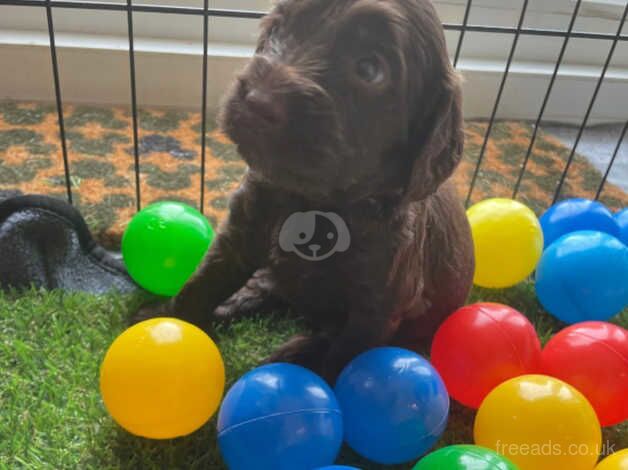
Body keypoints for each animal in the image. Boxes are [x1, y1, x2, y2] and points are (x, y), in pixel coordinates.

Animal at [147, 0, 474, 382]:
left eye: (370, 69)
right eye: (277, 28)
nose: (256, 102)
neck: (314, 199)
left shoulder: (377, 308)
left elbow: (341, 360)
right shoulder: (239, 234)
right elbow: (200, 284)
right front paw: (166, 327)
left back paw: (295, 352)